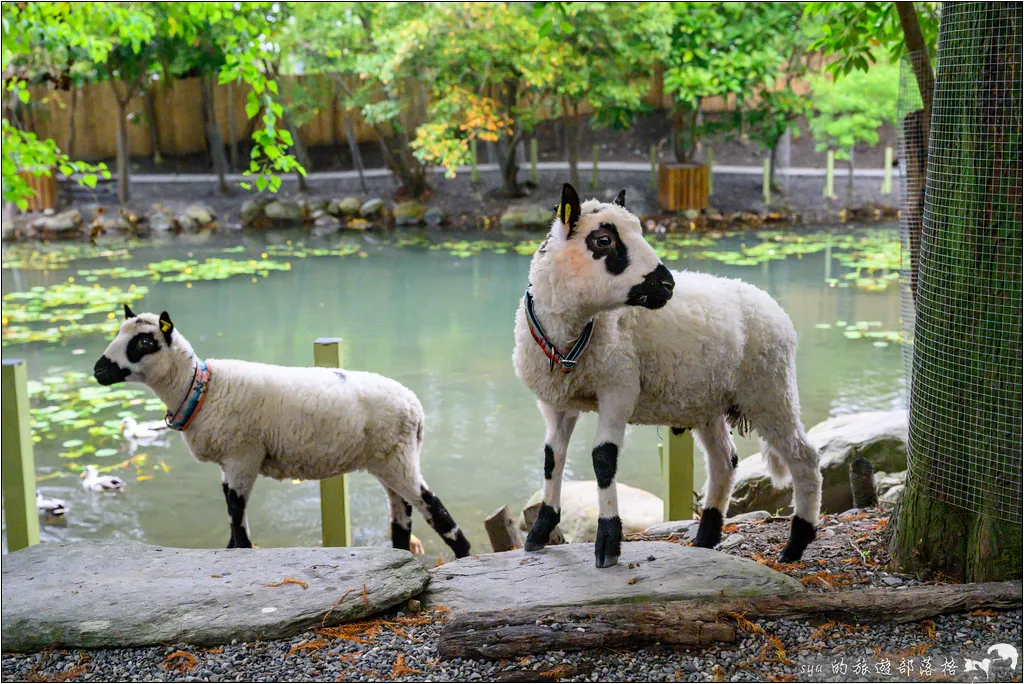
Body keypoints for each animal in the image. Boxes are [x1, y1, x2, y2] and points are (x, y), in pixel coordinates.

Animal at [92, 305, 471, 557]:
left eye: (144, 342)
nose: (98, 370)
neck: (200, 389)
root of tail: (416, 410)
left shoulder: (242, 458)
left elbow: (237, 523)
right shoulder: (230, 464)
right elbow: (232, 522)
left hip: (397, 458)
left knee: (437, 511)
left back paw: (464, 557)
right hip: (388, 460)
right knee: (402, 517)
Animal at [512, 181, 823, 565]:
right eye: (603, 240)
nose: (667, 284)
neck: (569, 337)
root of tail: (774, 306)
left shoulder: (619, 388)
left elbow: (603, 459)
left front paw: (608, 544)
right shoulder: (555, 401)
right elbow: (551, 459)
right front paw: (539, 533)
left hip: (771, 388)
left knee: (804, 458)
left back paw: (795, 545)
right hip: (709, 401)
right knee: (725, 461)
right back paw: (706, 536)